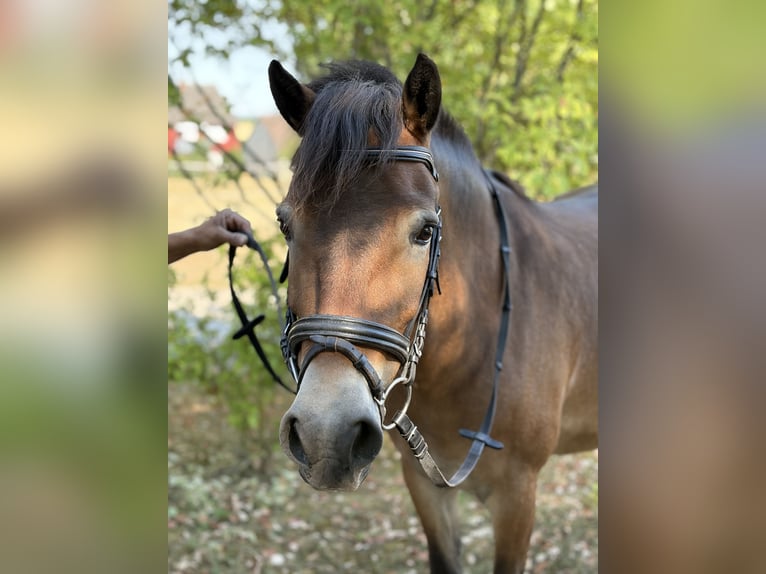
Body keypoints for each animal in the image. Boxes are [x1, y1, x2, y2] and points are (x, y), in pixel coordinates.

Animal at [267, 53, 598, 574]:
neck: (472, 346)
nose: (326, 434)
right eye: (285, 224)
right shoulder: (423, 482)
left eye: (425, 231)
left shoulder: (518, 495)